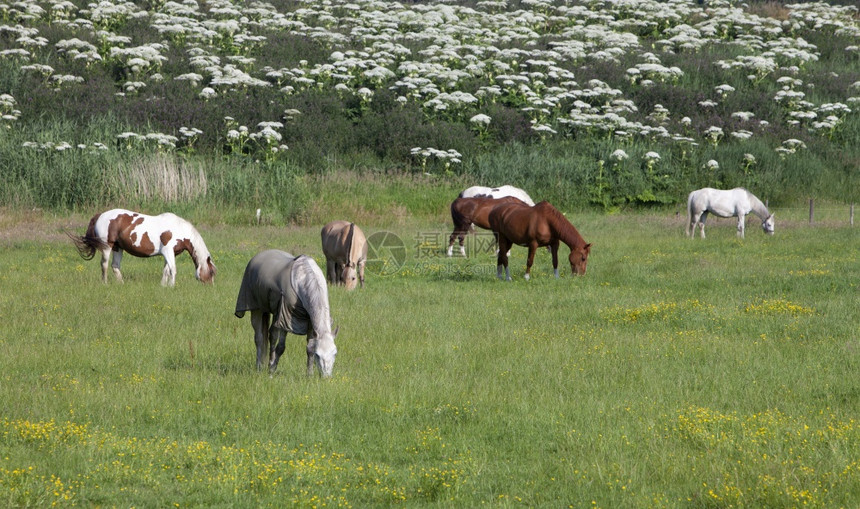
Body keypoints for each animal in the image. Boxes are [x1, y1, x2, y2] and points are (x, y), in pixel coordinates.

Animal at [69, 207, 215, 286]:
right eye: (212, 272)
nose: (210, 286)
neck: (179, 229)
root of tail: (100, 215)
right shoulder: (168, 251)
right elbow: (173, 269)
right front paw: (172, 286)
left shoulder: (169, 253)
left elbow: (166, 270)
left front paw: (164, 286)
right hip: (107, 246)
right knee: (104, 265)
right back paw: (105, 283)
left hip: (118, 247)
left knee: (115, 266)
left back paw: (122, 284)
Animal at [239, 250, 340, 378]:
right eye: (318, 355)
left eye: (335, 353)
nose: (326, 378)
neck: (302, 279)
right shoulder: (285, 320)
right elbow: (281, 348)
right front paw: (272, 372)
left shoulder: (310, 323)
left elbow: (309, 348)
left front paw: (309, 375)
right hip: (257, 310)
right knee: (259, 338)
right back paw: (259, 367)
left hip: (275, 314)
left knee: (272, 335)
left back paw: (269, 363)